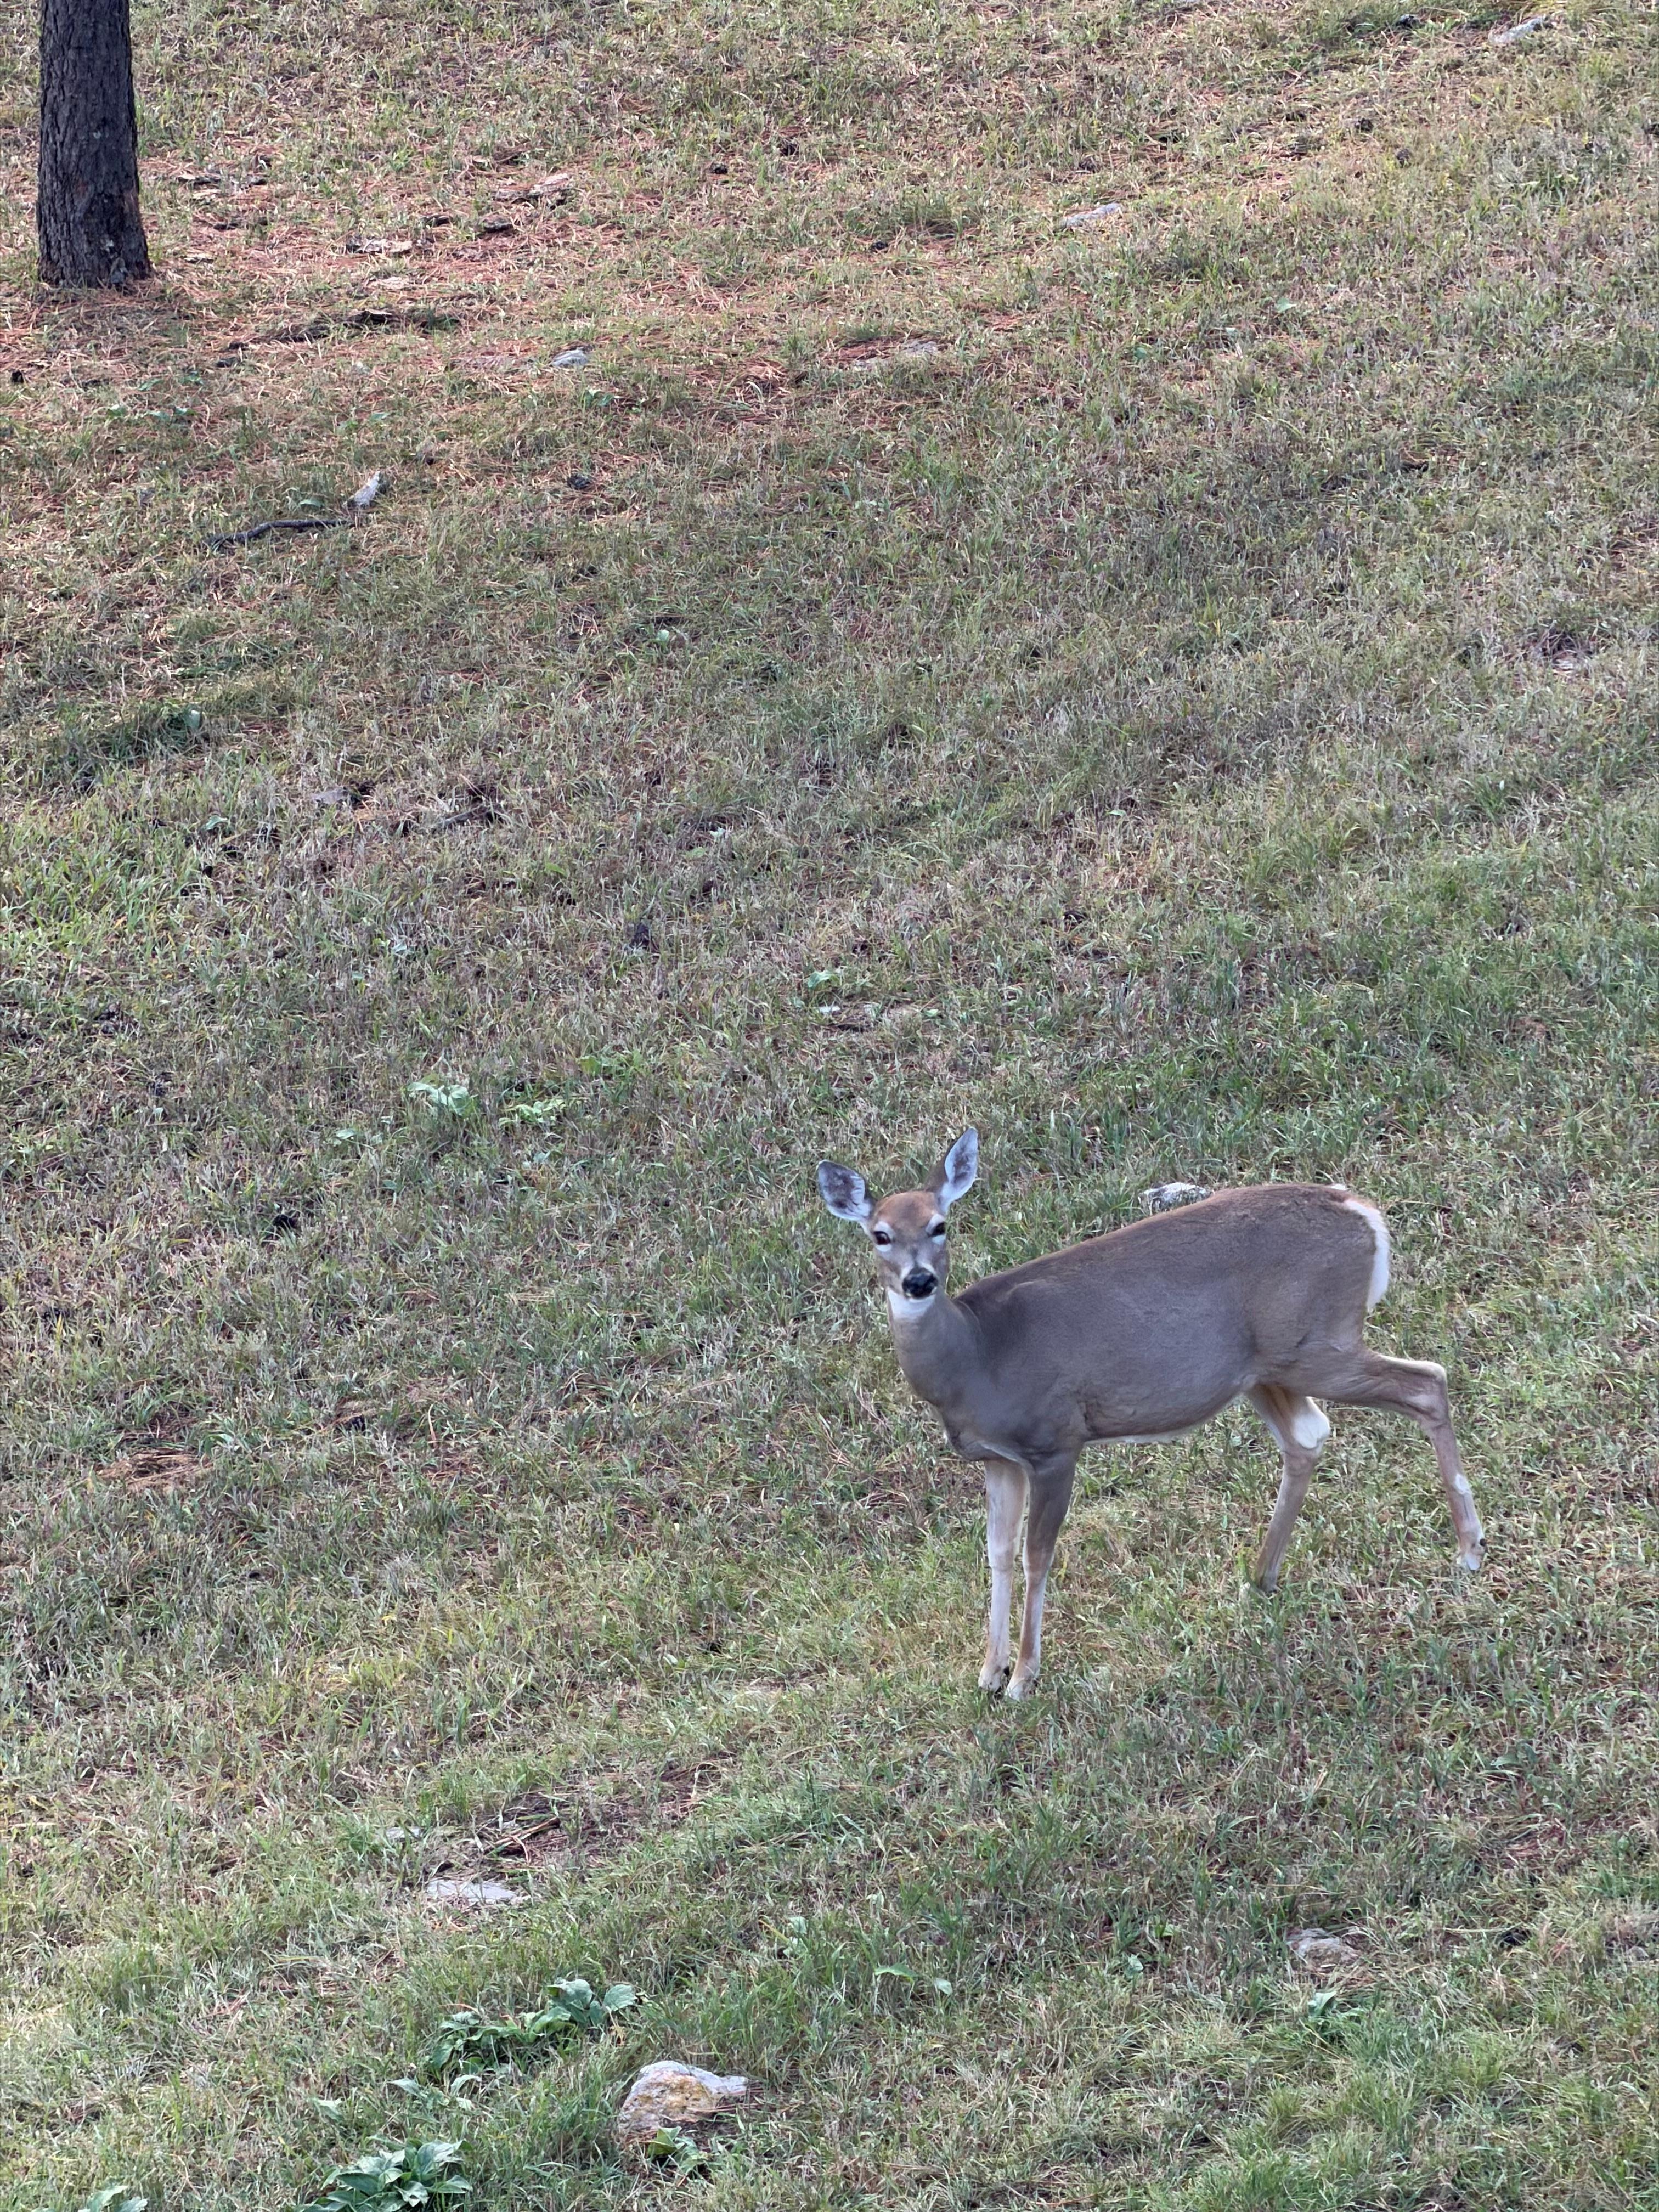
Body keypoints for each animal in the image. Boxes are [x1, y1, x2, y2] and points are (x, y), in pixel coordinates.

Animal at [816, 1130, 1483, 1699]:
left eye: (940, 1224)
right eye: (879, 1234)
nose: (919, 1281)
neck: (978, 1357)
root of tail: (1363, 1210)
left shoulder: (1056, 1439)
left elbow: (1037, 1555)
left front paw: (1024, 1677)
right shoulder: (996, 1459)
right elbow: (997, 1553)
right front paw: (987, 1671)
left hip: (1318, 1342)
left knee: (1428, 1382)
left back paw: (1470, 1552)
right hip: (1266, 1368)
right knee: (1310, 1435)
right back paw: (1260, 1578)